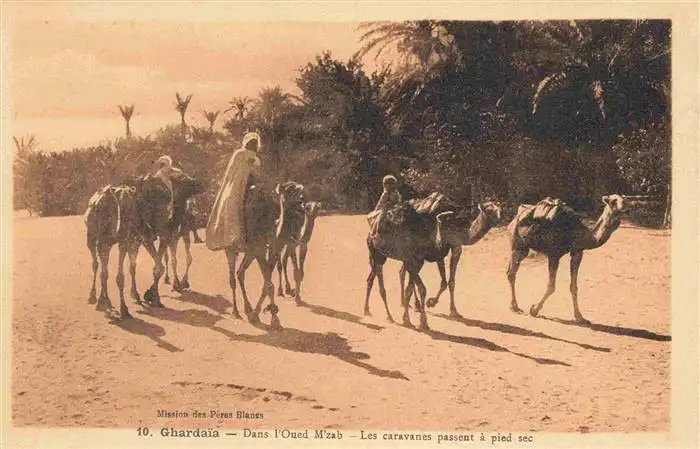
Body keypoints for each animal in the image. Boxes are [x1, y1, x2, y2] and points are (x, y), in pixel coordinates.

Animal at [84, 175, 171, 318]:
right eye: (158, 199)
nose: (167, 224)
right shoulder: (130, 241)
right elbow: (123, 274)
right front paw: (127, 306)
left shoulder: (133, 241)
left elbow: (133, 267)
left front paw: (137, 295)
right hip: (98, 239)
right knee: (98, 265)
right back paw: (97, 299)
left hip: (98, 239)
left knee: (99, 266)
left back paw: (100, 300)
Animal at [226, 179, 304, 328]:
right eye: (290, 190)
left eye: (299, 189)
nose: (301, 199)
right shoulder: (260, 250)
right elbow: (268, 284)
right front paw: (273, 319)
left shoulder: (272, 249)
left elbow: (267, 283)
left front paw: (260, 314)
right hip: (231, 249)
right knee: (232, 278)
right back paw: (236, 311)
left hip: (250, 252)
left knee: (240, 272)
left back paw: (248, 308)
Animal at [506, 192, 628, 322]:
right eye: (613, 201)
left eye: (624, 199)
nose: (624, 205)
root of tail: (517, 216)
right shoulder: (554, 254)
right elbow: (551, 286)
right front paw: (534, 310)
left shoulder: (577, 252)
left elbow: (573, 286)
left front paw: (580, 317)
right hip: (517, 244)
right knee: (511, 273)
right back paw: (514, 307)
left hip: (523, 249)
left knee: (510, 271)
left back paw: (514, 306)